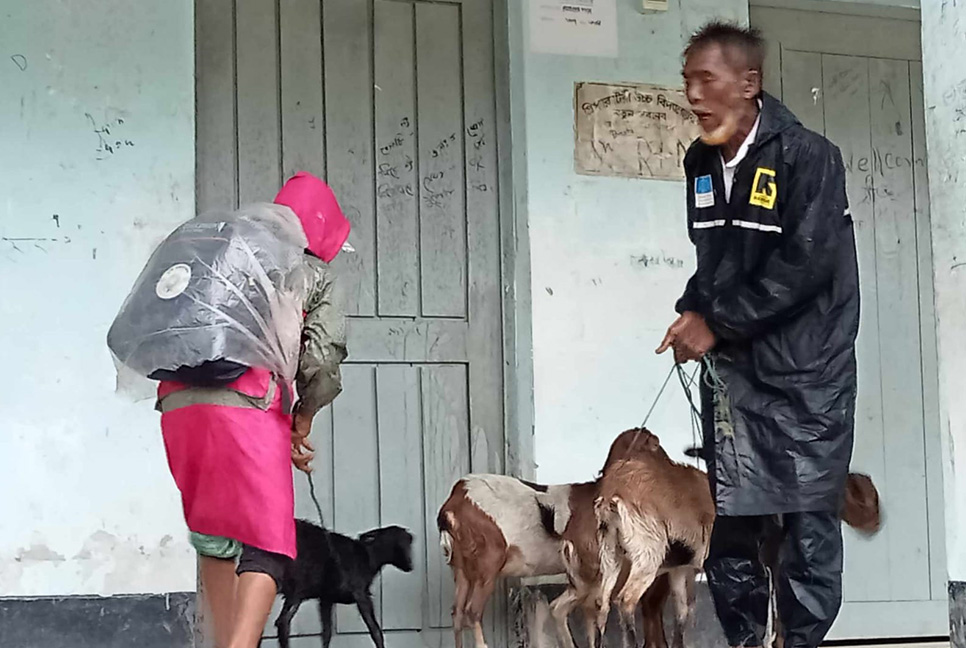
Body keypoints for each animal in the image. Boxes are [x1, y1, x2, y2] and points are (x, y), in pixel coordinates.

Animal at [278, 520, 418, 648]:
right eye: (401, 544)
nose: (410, 565)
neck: (367, 557)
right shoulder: (360, 594)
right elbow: (375, 630)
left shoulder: (326, 598)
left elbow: (327, 633)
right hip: (297, 587)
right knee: (283, 622)